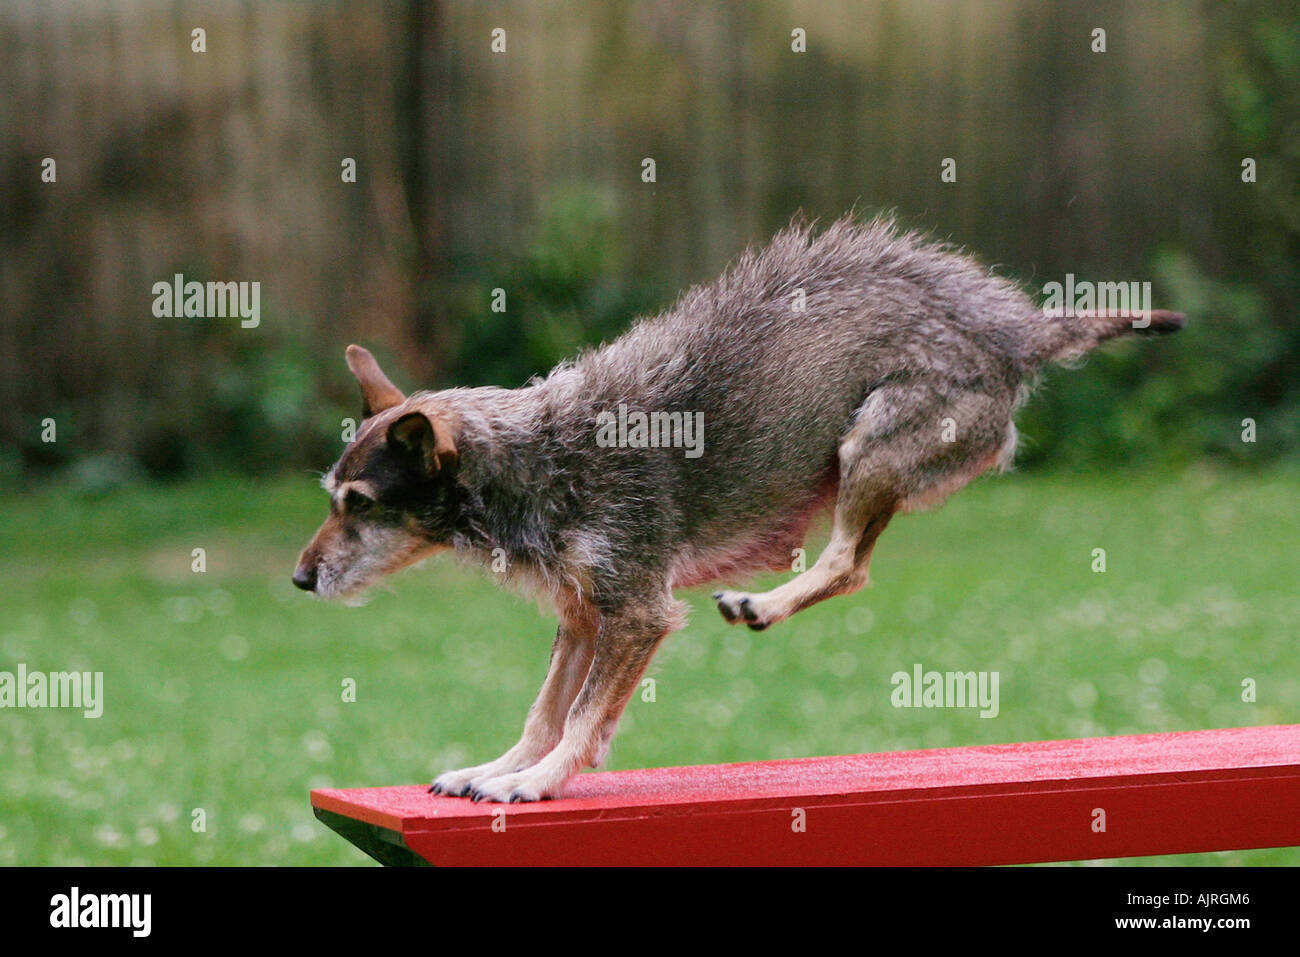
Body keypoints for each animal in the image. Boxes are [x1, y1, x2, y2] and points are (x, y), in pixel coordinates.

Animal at [289, 214, 1185, 800]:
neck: (531, 455)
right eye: (332, 498)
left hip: (869, 445)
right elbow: (544, 710)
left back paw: (762, 603)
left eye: (360, 503)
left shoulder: (637, 612)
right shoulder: (582, 616)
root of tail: (1020, 330)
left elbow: (578, 718)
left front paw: (535, 783)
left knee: (848, 564)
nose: (298, 579)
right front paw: (500, 768)